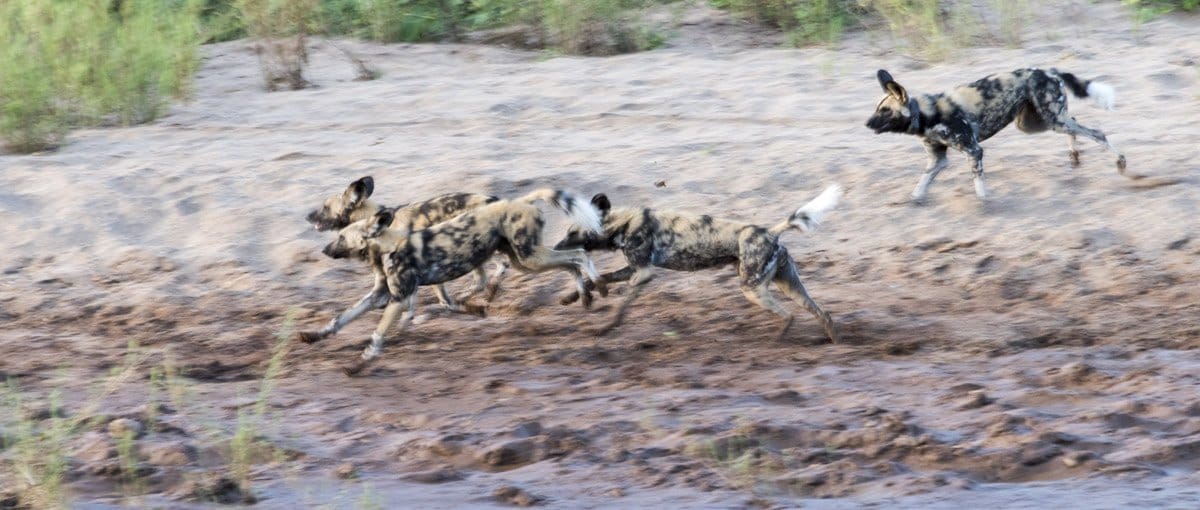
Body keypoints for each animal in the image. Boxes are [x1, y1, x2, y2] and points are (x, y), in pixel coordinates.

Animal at [304, 175, 511, 307]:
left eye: (325, 207)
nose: (307, 216)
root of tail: (493, 199)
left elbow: (440, 293)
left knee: (496, 270)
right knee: (485, 278)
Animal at [554, 183, 844, 340]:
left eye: (572, 232)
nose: (555, 247)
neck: (623, 224)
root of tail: (770, 232)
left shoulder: (643, 274)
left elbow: (620, 308)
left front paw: (606, 328)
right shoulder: (632, 269)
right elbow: (600, 279)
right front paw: (574, 298)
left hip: (752, 289)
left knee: (789, 315)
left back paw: (778, 341)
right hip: (790, 286)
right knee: (823, 314)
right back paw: (834, 344)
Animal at [868, 67, 1128, 200]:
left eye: (884, 111)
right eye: (876, 108)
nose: (867, 123)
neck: (925, 114)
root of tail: (1048, 71)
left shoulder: (974, 150)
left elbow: (979, 187)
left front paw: (986, 205)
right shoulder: (937, 160)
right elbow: (921, 185)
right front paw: (914, 201)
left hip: (1050, 120)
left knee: (1097, 133)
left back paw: (1120, 161)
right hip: (1038, 123)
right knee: (1074, 122)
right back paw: (1074, 157)